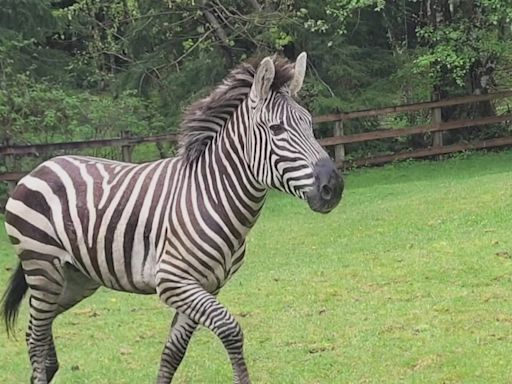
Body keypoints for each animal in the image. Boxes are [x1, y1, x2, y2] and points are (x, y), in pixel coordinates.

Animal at [1, 51, 344, 384]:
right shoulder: (173, 280)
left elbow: (173, 352)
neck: (213, 196)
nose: (334, 187)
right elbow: (230, 328)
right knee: (36, 336)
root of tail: (39, 168)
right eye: (277, 130)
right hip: (42, 267)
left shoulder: (206, 286)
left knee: (37, 329)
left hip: (75, 278)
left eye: (310, 124)